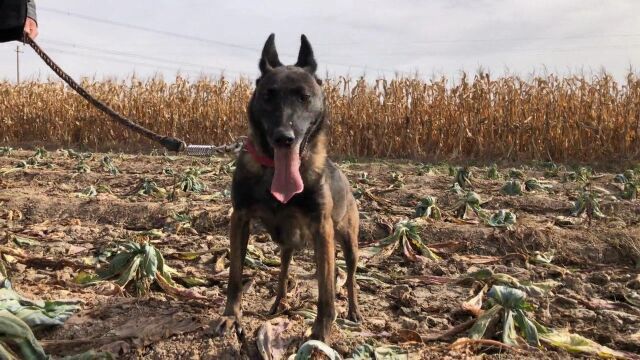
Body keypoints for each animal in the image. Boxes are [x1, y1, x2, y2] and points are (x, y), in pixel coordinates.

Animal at [215, 33, 362, 340]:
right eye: (268, 96)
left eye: (304, 97)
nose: (284, 137)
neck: (273, 171)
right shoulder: (240, 219)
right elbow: (235, 275)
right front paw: (231, 317)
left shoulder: (323, 230)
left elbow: (326, 293)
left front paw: (320, 334)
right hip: (287, 243)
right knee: (283, 270)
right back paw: (279, 302)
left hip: (349, 243)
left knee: (351, 277)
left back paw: (353, 310)